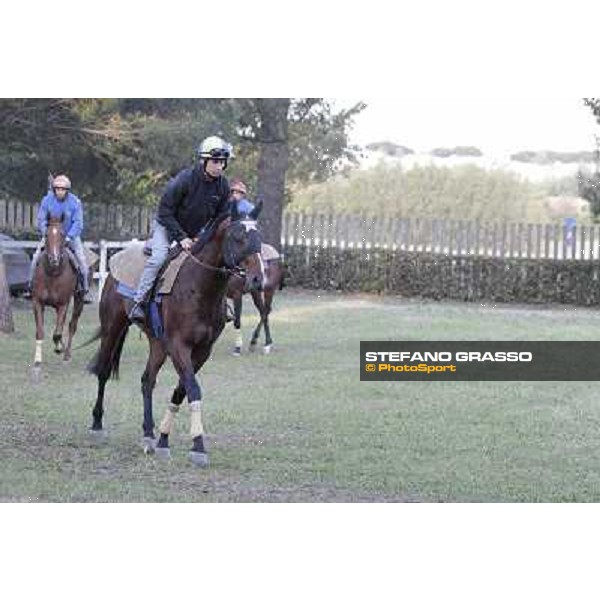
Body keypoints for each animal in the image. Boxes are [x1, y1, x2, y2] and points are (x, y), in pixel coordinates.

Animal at [31, 216, 84, 370]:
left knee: (72, 326)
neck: (53, 273)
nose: (54, 259)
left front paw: (59, 348)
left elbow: (57, 333)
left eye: (62, 234)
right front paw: (37, 361)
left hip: (79, 301)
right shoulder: (37, 302)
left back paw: (66, 354)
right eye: (46, 234)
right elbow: (40, 332)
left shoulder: (63, 304)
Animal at [85, 204, 264, 466]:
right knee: (104, 372)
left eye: (259, 237)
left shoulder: (202, 350)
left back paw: (148, 436)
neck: (200, 286)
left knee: (147, 381)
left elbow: (181, 390)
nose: (258, 279)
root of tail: (113, 264)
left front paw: (163, 440)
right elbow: (193, 388)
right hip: (113, 328)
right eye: (237, 237)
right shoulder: (179, 345)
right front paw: (198, 445)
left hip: (157, 344)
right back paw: (97, 425)